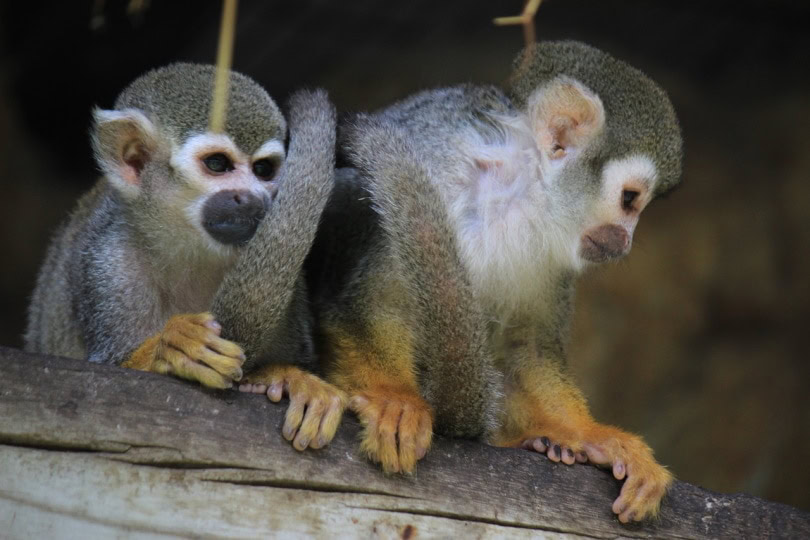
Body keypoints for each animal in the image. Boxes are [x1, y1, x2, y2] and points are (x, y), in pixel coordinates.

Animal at [25, 63, 345, 451]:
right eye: (218, 164)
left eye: (264, 170)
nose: (253, 198)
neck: (192, 248)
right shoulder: (110, 266)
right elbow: (109, 373)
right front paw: (172, 347)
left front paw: (287, 377)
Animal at [310, 41, 682, 523]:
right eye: (630, 199)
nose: (624, 241)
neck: (516, 192)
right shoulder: (433, 172)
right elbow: (370, 304)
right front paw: (394, 398)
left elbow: (527, 345)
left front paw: (593, 435)